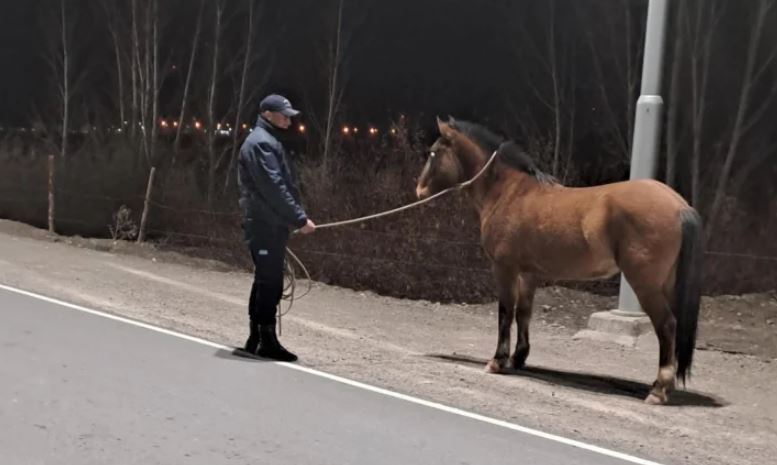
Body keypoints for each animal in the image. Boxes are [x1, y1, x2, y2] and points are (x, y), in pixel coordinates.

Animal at [415, 116, 703, 405]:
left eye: (433, 152)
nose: (419, 190)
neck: (508, 192)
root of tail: (680, 206)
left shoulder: (505, 269)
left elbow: (505, 313)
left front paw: (498, 361)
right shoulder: (528, 274)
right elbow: (523, 313)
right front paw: (518, 358)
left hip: (646, 285)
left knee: (666, 326)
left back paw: (658, 390)